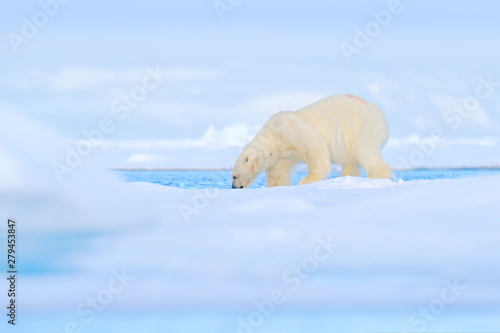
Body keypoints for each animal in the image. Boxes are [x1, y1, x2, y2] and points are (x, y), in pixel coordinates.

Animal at [230, 94, 390, 187]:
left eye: (234, 176)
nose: (233, 187)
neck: (273, 136)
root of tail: (379, 112)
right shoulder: (282, 155)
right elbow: (278, 173)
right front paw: (277, 187)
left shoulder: (292, 130)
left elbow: (316, 148)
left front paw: (306, 180)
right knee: (350, 161)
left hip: (361, 127)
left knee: (364, 150)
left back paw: (378, 176)